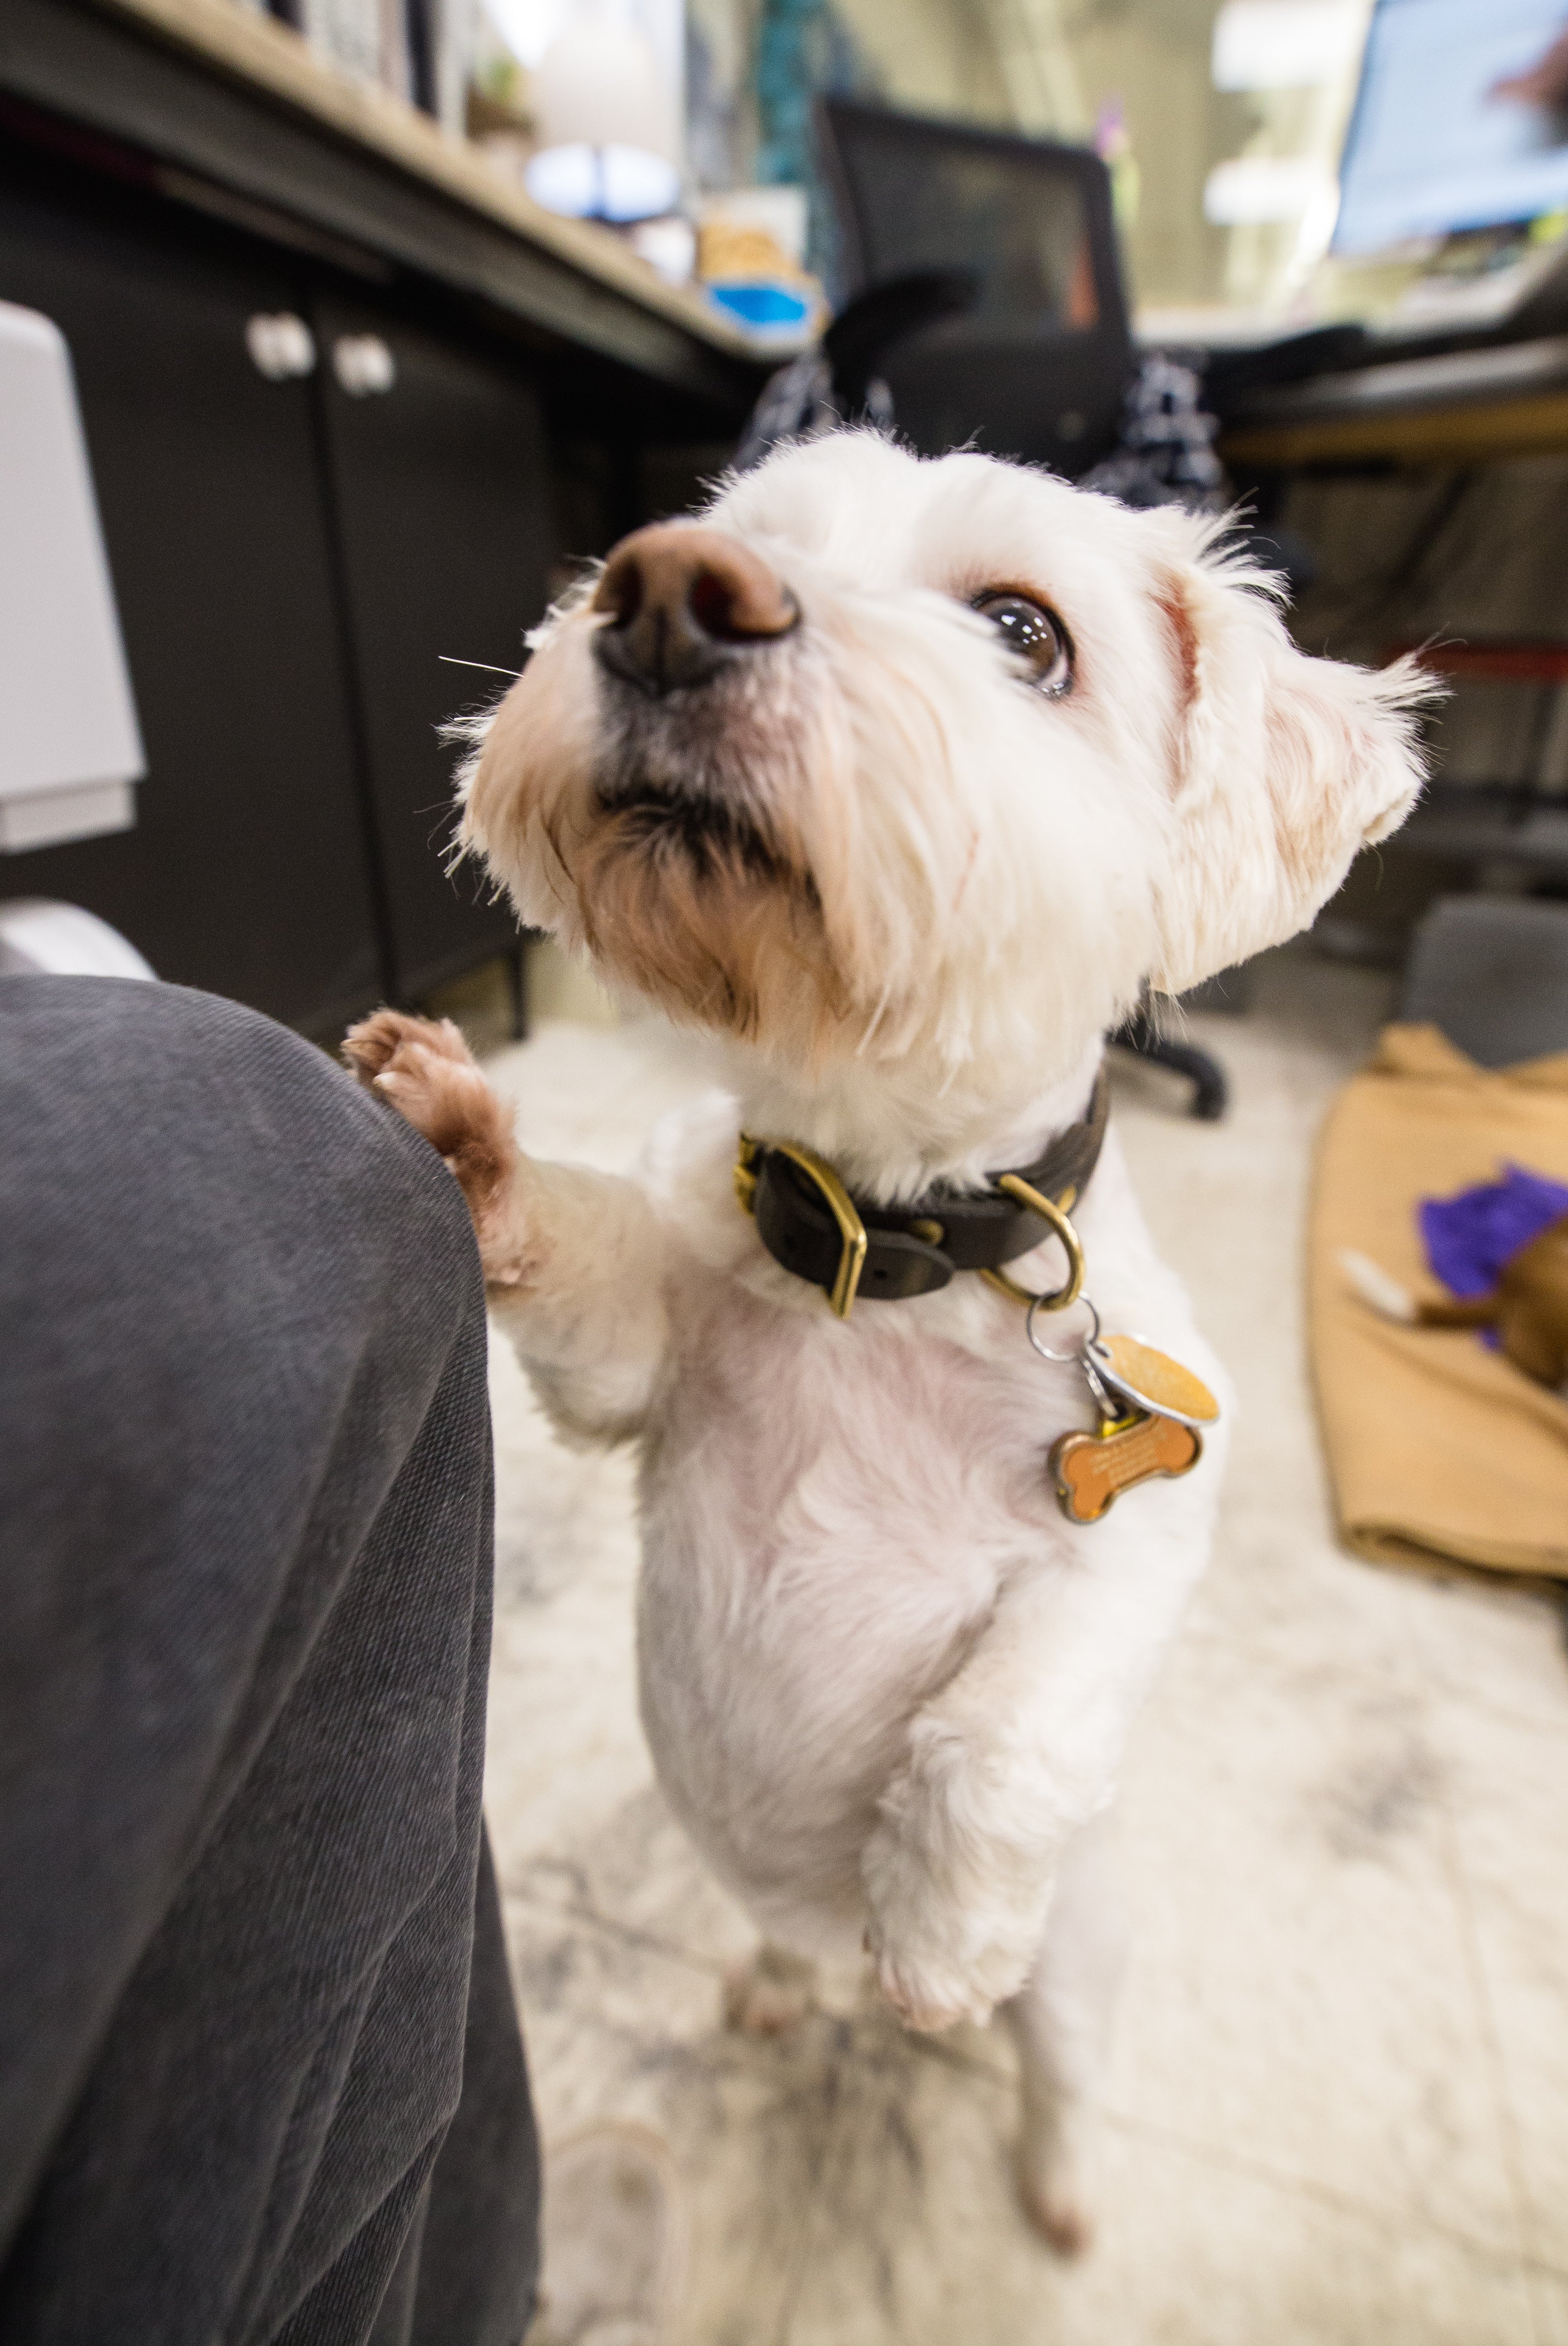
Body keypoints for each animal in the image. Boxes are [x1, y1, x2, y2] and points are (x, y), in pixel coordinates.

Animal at [349, 431, 1427, 2243]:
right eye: (721, 534)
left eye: (1026, 631)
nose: (665, 594)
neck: (879, 1239)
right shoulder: (639, 1359)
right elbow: (579, 1256)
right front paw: (470, 1133)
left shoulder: (1141, 1548)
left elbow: (998, 1739)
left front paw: (936, 1940)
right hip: (761, 1905)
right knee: (785, 1953)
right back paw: (786, 1989)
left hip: (1088, 1966)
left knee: (1058, 2069)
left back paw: (1042, 2167)